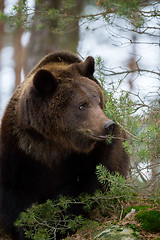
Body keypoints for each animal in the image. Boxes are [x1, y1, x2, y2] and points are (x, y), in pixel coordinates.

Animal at [0, 51, 129, 239]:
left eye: (98, 100)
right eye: (82, 105)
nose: (108, 125)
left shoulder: (88, 158)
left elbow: (80, 189)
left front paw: (62, 224)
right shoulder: (20, 152)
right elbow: (17, 197)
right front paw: (29, 229)